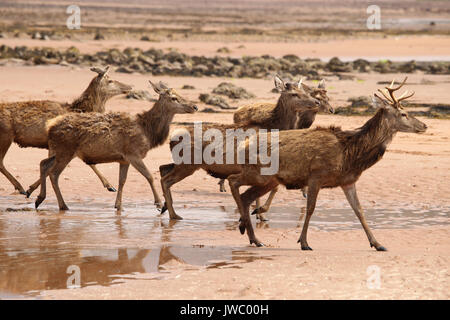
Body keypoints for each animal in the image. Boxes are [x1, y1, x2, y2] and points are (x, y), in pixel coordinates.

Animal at [0, 66, 132, 196]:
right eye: (110, 80)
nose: (130, 86)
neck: (81, 109)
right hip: (5, 136)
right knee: (1, 162)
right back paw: (20, 188)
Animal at [32, 81, 198, 211]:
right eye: (174, 98)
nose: (195, 106)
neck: (148, 132)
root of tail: (50, 127)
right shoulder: (133, 153)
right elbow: (149, 176)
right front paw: (158, 204)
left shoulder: (124, 159)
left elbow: (122, 181)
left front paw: (118, 205)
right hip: (65, 151)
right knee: (54, 174)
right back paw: (63, 205)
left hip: (59, 151)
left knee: (44, 164)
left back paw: (38, 198)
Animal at [158, 75, 320, 220]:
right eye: (294, 94)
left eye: (305, 91)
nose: (317, 101)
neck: (274, 127)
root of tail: (173, 137)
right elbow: (273, 188)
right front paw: (260, 211)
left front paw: (260, 215)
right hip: (188, 163)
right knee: (166, 180)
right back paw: (173, 214)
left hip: (181, 162)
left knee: (163, 168)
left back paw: (164, 207)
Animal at [227, 77, 428, 250]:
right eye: (403, 113)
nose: (425, 125)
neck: (350, 153)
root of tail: (245, 143)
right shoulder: (316, 175)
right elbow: (310, 208)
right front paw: (304, 242)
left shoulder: (348, 181)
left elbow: (359, 210)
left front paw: (378, 244)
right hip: (259, 173)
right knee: (233, 181)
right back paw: (247, 229)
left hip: (269, 180)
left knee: (246, 196)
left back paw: (252, 236)